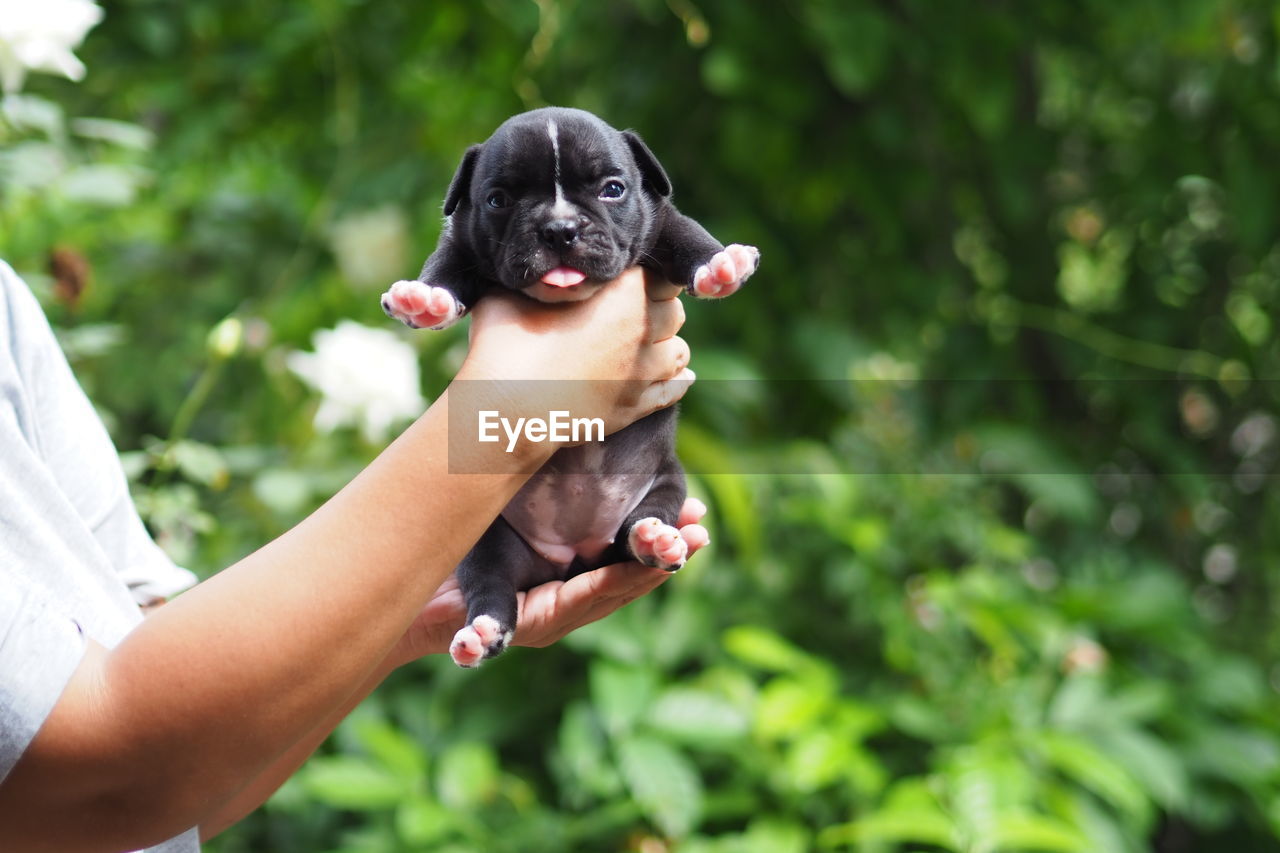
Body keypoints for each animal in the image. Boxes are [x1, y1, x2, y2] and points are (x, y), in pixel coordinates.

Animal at [378, 106, 757, 666]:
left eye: (613, 190)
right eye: (498, 200)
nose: (559, 229)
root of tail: (574, 555)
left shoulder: (659, 219)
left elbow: (686, 233)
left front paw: (720, 264)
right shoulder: (461, 239)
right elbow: (444, 264)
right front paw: (426, 299)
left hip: (667, 483)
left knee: (641, 527)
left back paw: (653, 541)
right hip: (486, 540)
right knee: (491, 582)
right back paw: (482, 631)